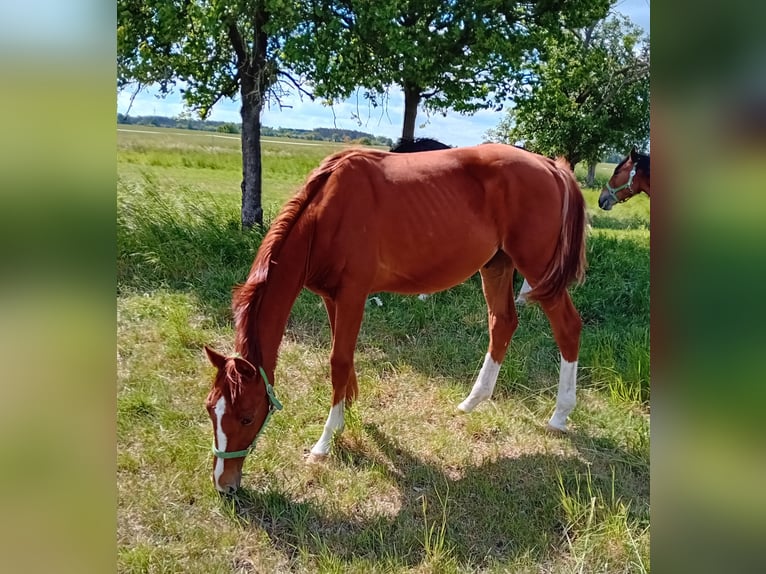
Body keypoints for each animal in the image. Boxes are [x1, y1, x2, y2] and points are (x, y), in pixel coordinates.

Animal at [204, 143, 587, 493]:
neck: (327, 214)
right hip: (497, 265)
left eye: (247, 416)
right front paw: (349, 410)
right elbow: (343, 357)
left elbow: (338, 361)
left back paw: (560, 415)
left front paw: (325, 441)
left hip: (537, 269)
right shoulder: (331, 297)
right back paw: (472, 402)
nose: (224, 485)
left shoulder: (353, 294)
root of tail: (551, 166)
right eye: (210, 409)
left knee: (568, 328)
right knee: (502, 322)